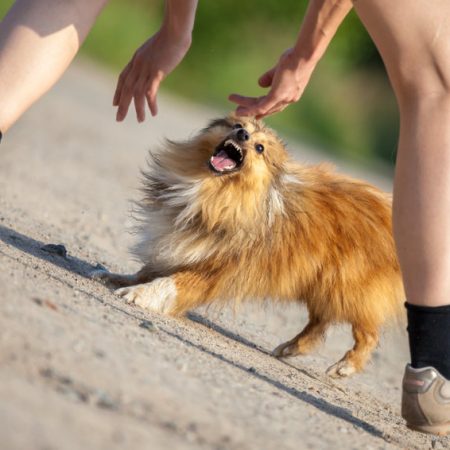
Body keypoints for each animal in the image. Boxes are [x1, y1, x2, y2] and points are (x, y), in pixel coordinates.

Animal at [94, 113, 404, 376]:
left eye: (260, 148)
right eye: (237, 125)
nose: (242, 134)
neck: (214, 192)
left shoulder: (217, 270)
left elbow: (172, 283)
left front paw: (138, 294)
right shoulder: (180, 245)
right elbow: (148, 269)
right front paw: (119, 278)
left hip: (346, 287)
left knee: (368, 332)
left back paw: (345, 366)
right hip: (322, 284)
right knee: (319, 324)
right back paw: (290, 348)